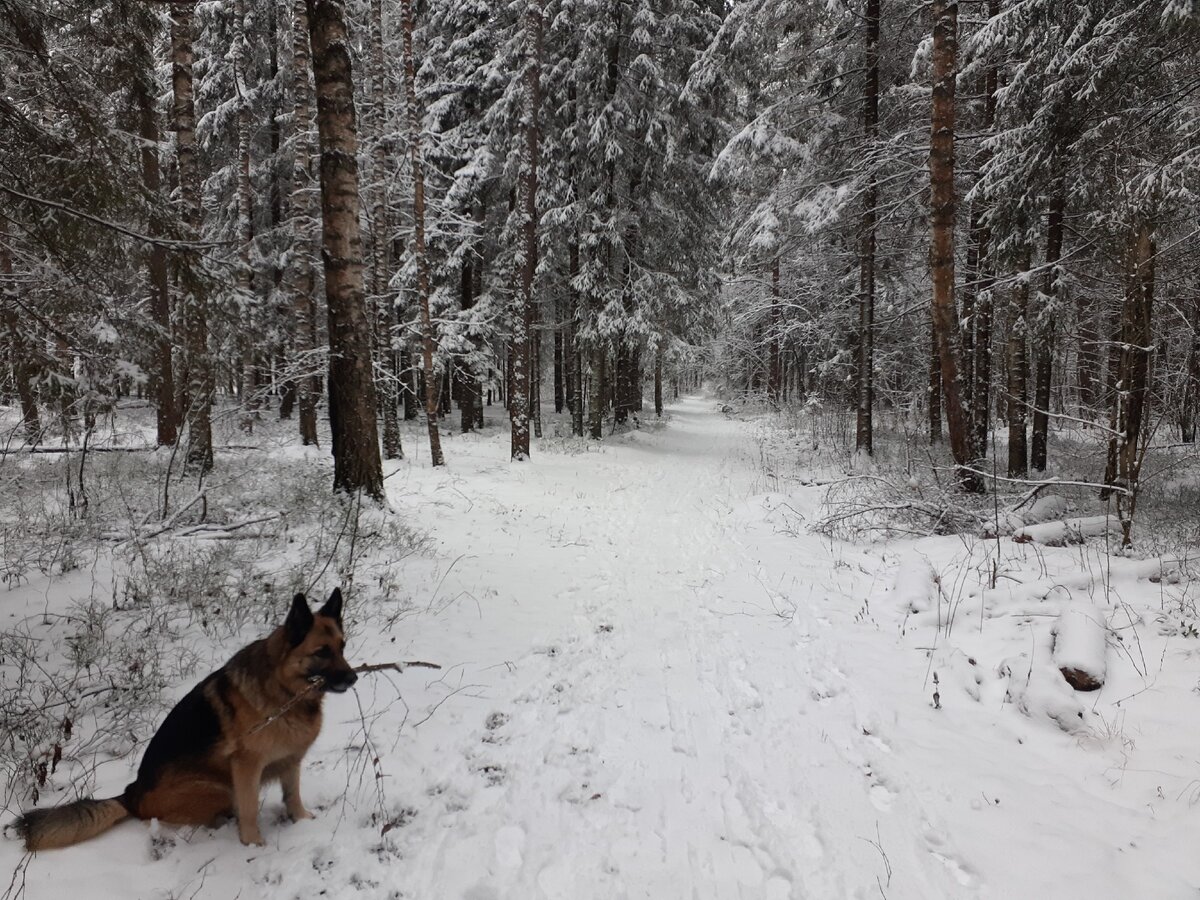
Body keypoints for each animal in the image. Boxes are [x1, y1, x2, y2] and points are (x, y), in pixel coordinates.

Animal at [15, 592, 355, 854]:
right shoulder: (246, 768)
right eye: (321, 652)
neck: (284, 691)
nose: (353, 678)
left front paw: (303, 822)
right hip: (221, 789)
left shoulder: (291, 761)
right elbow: (249, 811)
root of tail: (131, 794)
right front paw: (253, 844)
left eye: (342, 647)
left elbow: (292, 795)